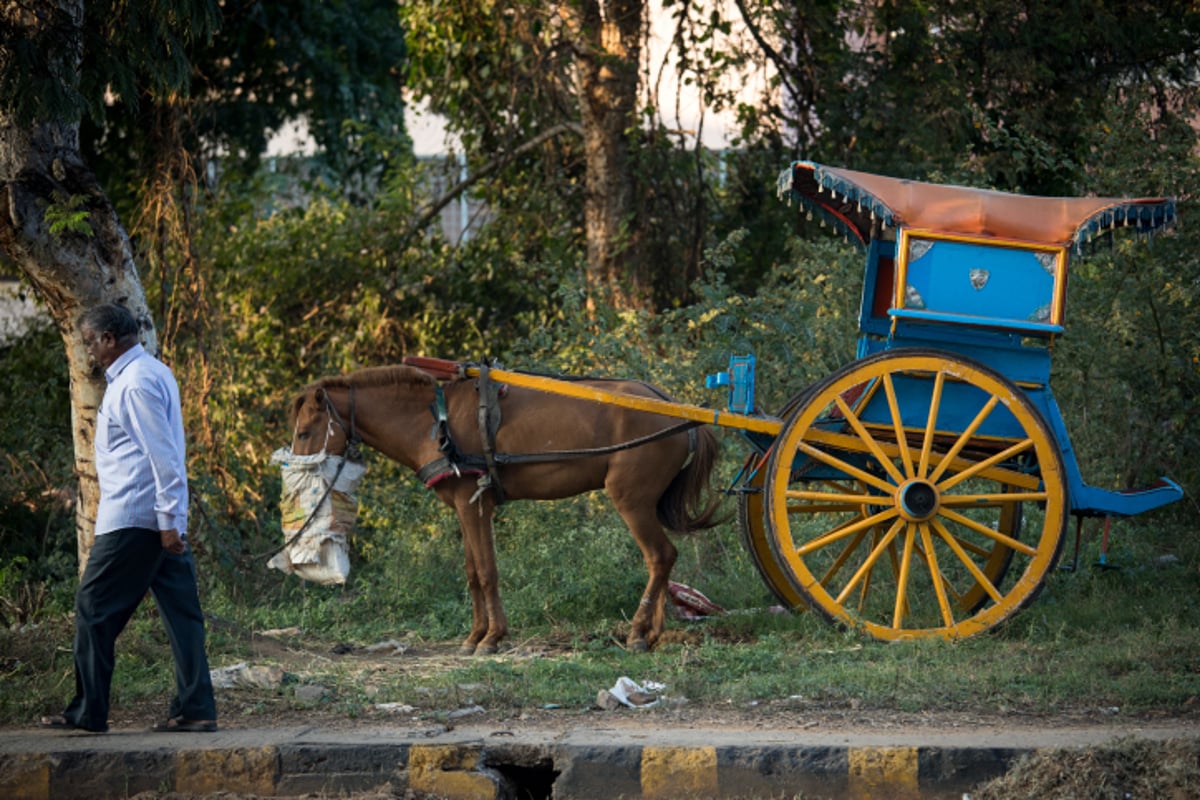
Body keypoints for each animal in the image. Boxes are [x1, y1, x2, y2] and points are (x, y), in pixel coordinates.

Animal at [290, 367, 720, 652]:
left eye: (304, 431)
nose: (296, 474)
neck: (433, 422)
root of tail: (678, 410)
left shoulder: (474, 503)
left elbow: (486, 571)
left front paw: (491, 638)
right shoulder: (464, 507)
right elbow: (471, 573)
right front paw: (475, 635)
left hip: (631, 499)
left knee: (659, 556)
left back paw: (638, 632)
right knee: (664, 559)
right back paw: (653, 633)